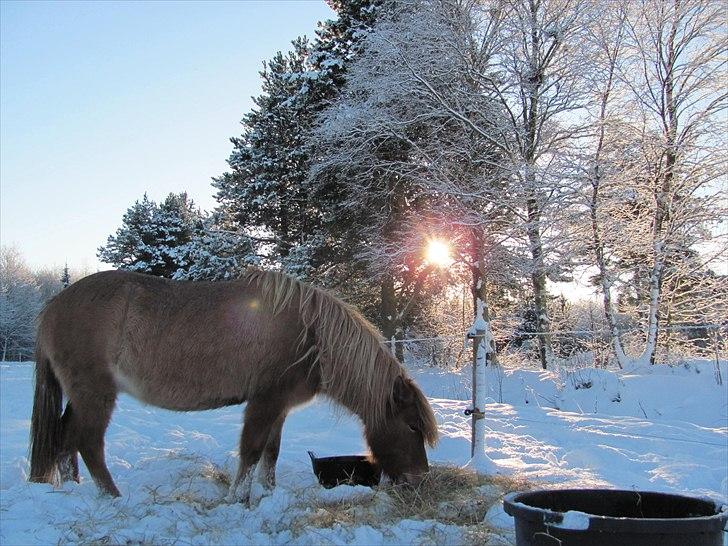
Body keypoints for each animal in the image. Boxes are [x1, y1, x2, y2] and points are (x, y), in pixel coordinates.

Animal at [28, 266, 438, 498]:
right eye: (412, 426)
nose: (420, 480)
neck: (311, 336)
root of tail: (50, 307)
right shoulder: (264, 402)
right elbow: (252, 451)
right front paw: (238, 499)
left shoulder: (280, 407)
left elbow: (271, 453)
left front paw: (268, 495)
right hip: (96, 394)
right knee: (87, 442)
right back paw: (111, 497)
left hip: (81, 396)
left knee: (65, 438)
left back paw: (74, 490)